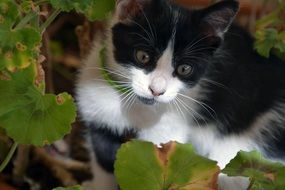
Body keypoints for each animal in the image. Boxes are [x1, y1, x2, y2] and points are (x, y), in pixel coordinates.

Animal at [75, 0, 284, 189]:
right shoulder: (99, 116)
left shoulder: (167, 130)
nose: (156, 90)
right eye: (143, 56)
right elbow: (104, 162)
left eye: (184, 69)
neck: (135, 106)